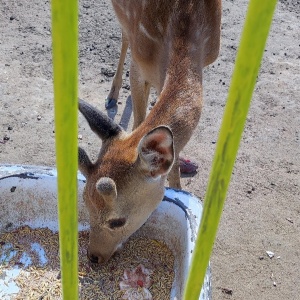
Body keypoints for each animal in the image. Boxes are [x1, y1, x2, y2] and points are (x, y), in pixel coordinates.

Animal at [78, 0, 221, 262]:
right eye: (85, 203)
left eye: (117, 221)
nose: (93, 256)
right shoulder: (139, 65)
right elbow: (140, 123)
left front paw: (179, 186)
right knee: (124, 36)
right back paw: (112, 95)